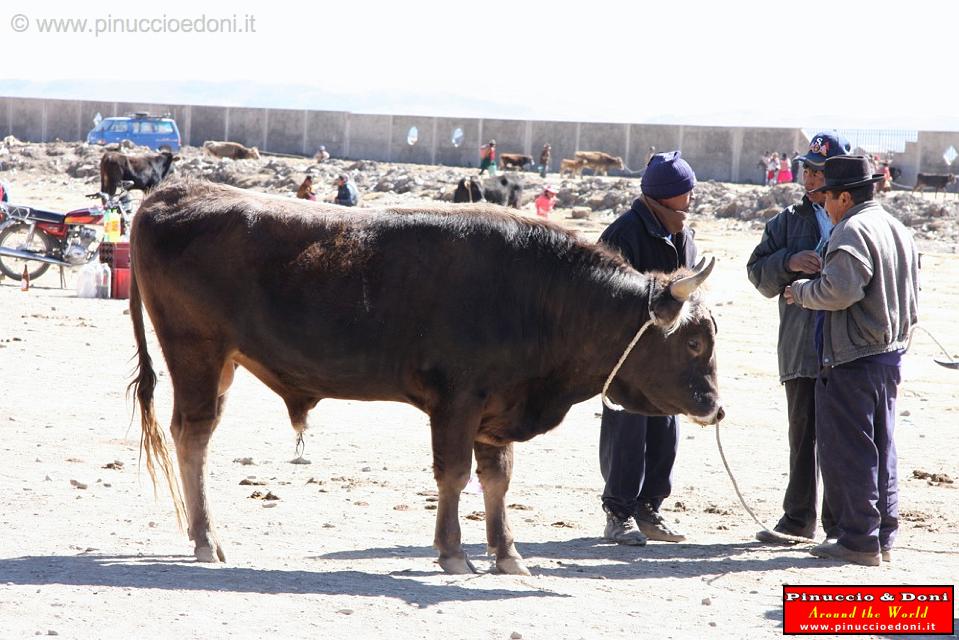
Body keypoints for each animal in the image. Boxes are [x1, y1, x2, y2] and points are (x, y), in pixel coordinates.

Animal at [129, 179, 728, 576]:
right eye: (695, 341)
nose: (715, 407)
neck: (540, 294)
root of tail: (176, 192)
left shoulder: (496, 410)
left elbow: (497, 480)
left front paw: (507, 553)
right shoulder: (457, 402)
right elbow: (454, 475)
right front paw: (454, 552)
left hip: (223, 364)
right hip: (197, 354)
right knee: (193, 437)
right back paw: (206, 540)